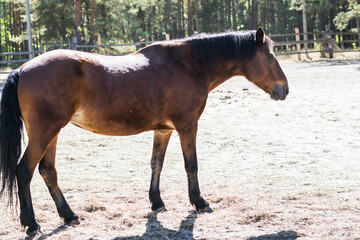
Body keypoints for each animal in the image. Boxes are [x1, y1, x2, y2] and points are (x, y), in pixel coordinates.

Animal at [0, 28, 286, 236]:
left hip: (53, 133)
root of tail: (22, 69)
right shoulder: (187, 125)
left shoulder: (163, 130)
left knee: (48, 171)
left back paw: (69, 215)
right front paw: (199, 201)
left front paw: (156, 201)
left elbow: (156, 163)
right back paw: (31, 224)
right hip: (44, 134)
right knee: (23, 171)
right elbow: (191, 165)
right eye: (270, 57)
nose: (285, 89)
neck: (189, 65)